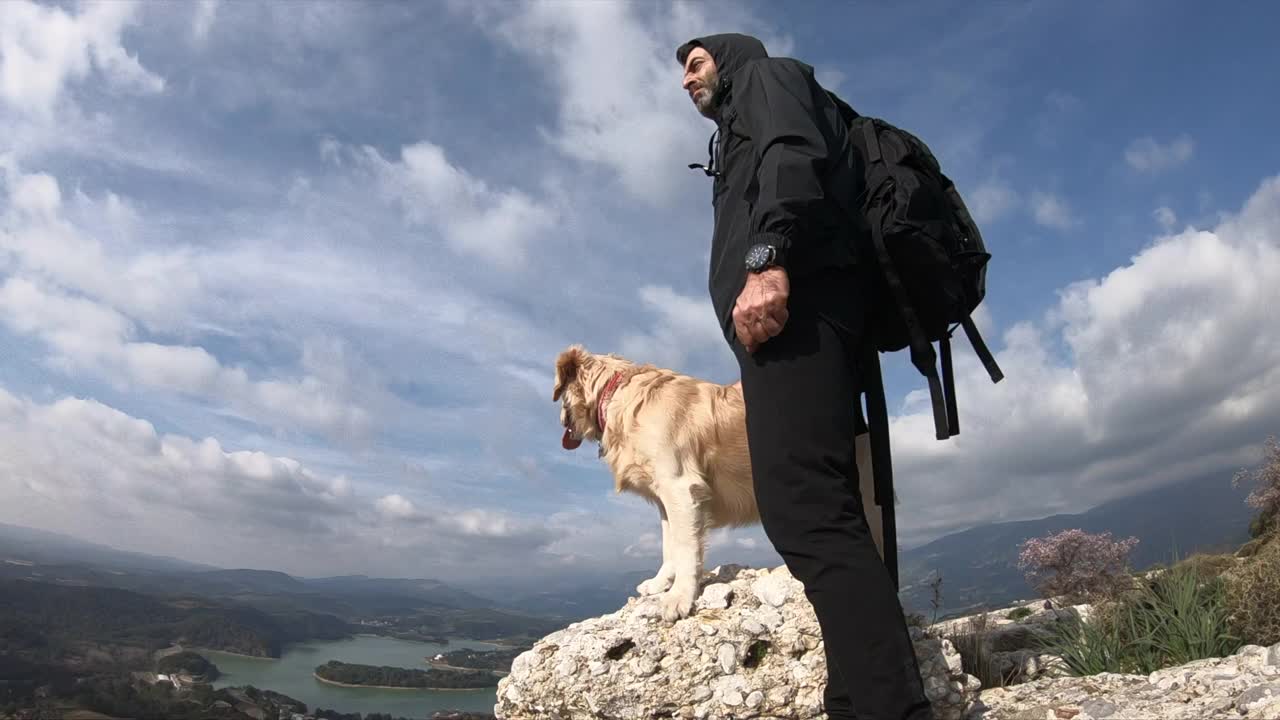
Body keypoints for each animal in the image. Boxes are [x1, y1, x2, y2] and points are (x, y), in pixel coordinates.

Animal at [550, 345, 890, 620]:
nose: (558, 421)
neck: (618, 394)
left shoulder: (680, 487)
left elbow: (685, 546)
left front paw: (679, 597)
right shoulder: (664, 497)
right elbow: (669, 545)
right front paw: (661, 583)